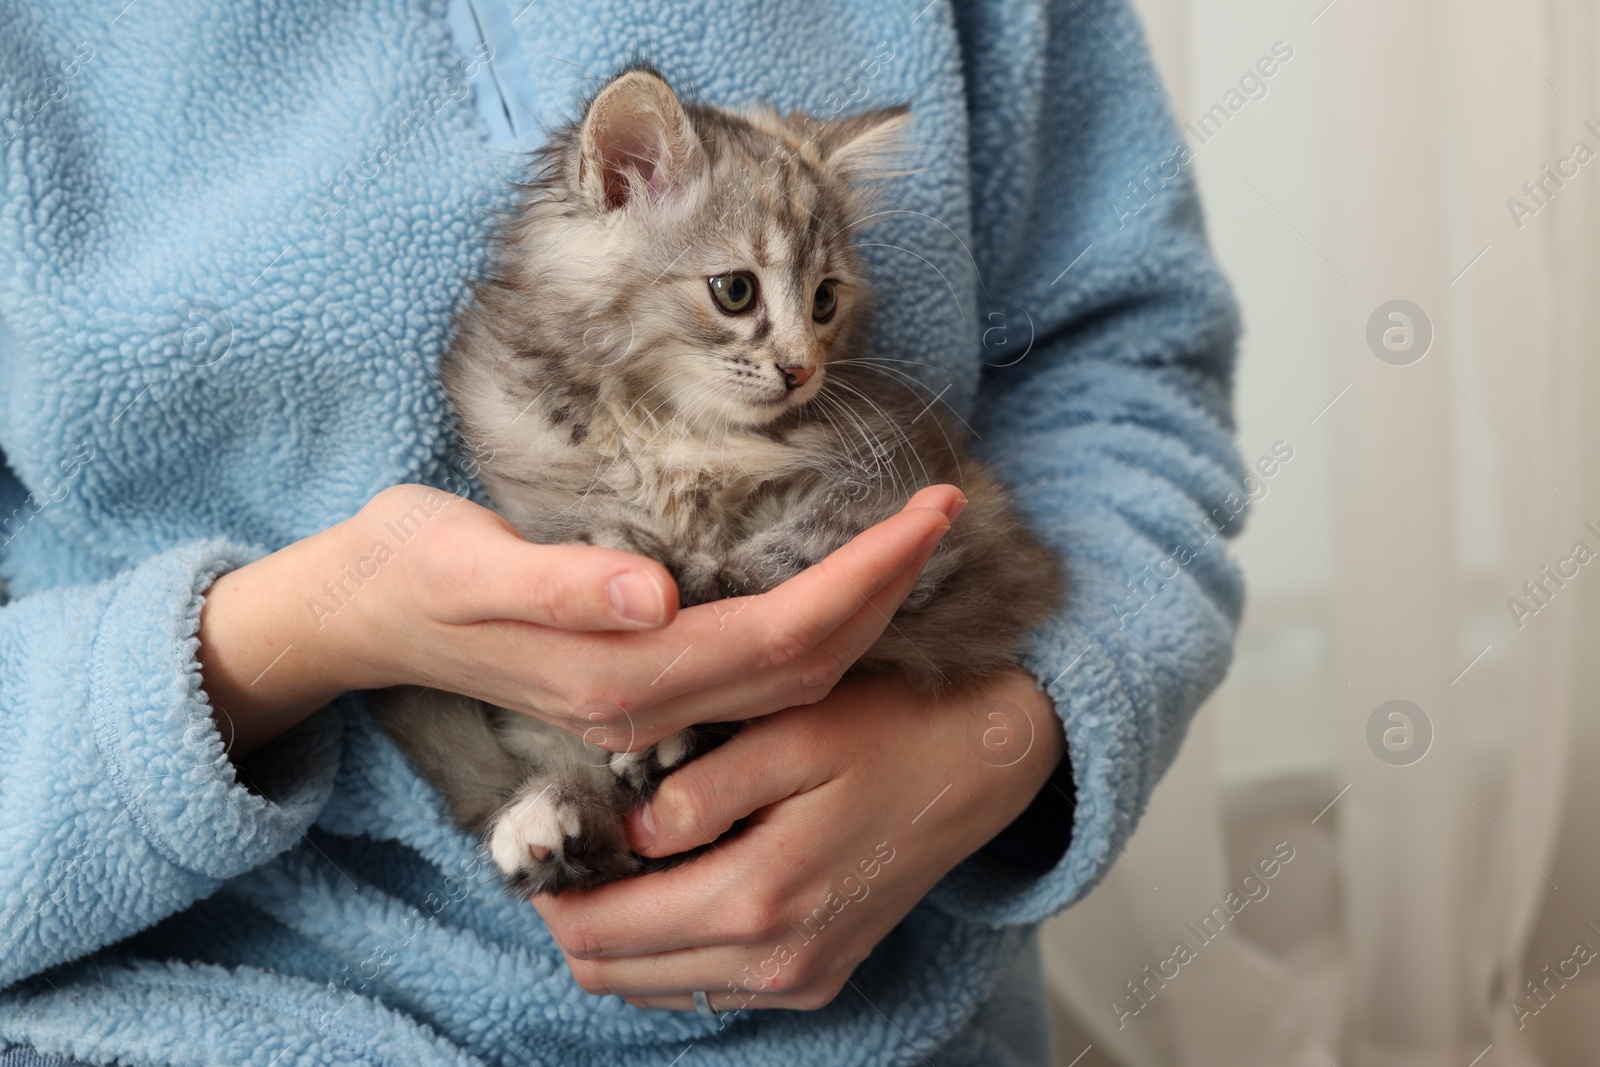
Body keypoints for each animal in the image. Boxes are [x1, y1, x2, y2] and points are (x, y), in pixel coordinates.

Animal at [372, 66, 1062, 895]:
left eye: (825, 299)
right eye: (735, 290)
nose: (801, 370)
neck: (676, 427)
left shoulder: (906, 495)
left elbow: (776, 557)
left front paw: (696, 586)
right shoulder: (546, 488)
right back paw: (550, 817)